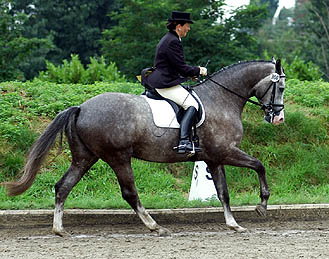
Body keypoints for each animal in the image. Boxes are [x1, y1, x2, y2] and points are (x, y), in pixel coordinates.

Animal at [1, 58, 284, 238]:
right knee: (130, 193)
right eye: (280, 86)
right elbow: (259, 165)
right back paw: (155, 227)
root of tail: (80, 107)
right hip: (118, 157)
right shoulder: (226, 152)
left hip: (85, 158)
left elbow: (224, 193)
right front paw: (261, 206)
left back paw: (60, 230)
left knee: (63, 187)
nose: (278, 118)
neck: (222, 99)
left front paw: (234, 224)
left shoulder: (214, 158)